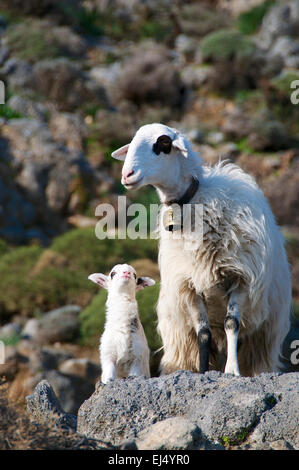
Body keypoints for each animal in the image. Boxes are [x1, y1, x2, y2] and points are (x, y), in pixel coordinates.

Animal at [112, 123, 292, 376]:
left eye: (163, 144)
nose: (127, 175)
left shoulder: (242, 279)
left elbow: (231, 324)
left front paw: (232, 371)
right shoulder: (188, 286)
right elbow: (203, 335)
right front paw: (204, 372)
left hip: (262, 335)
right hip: (180, 339)